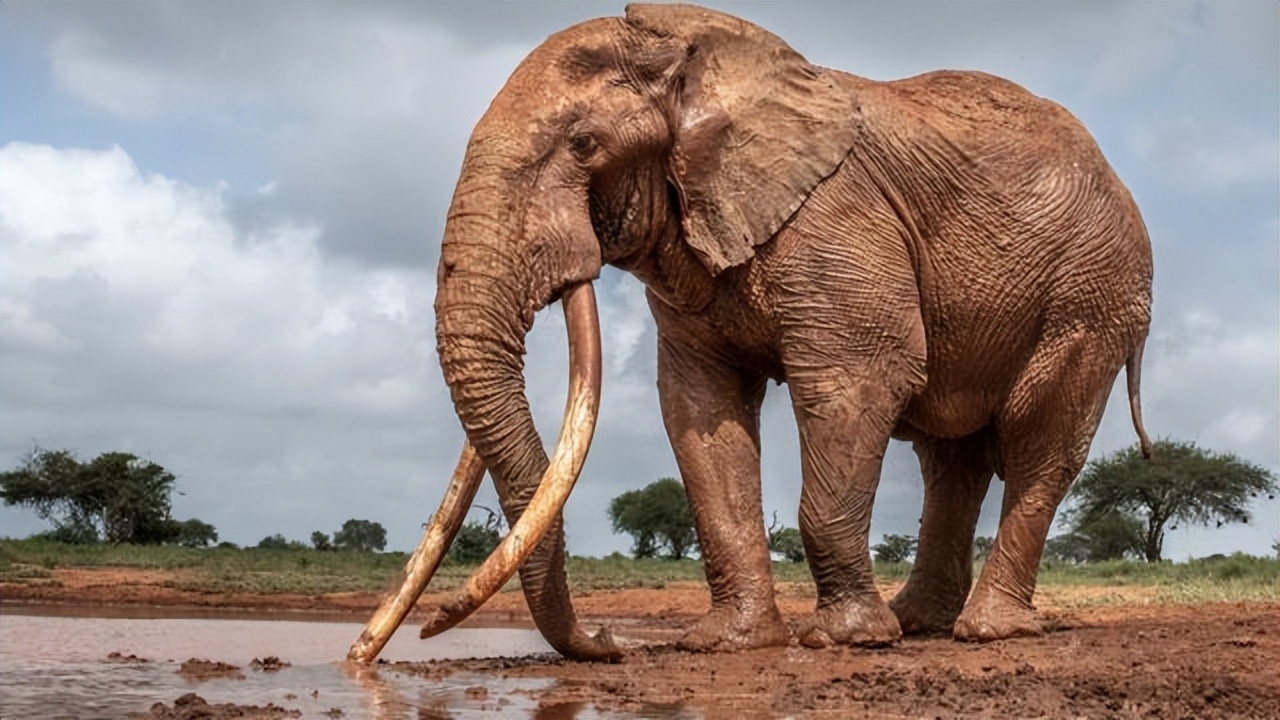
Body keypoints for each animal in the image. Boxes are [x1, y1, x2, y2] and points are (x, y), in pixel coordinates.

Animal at [348, 1, 1152, 661]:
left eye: (582, 144)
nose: (607, 643)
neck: (694, 57)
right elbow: (700, 407)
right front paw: (727, 643)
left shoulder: (834, 222)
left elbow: (860, 380)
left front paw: (844, 641)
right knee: (949, 455)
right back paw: (920, 623)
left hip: (1094, 293)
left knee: (1037, 437)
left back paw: (986, 630)